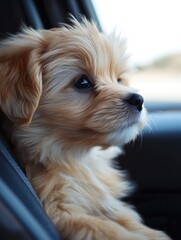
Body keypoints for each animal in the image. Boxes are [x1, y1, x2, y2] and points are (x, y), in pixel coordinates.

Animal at [0, 17, 171, 239]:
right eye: (82, 82)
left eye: (119, 79)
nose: (138, 100)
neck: (79, 157)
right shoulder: (61, 211)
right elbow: (104, 228)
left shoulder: (110, 206)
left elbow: (128, 220)